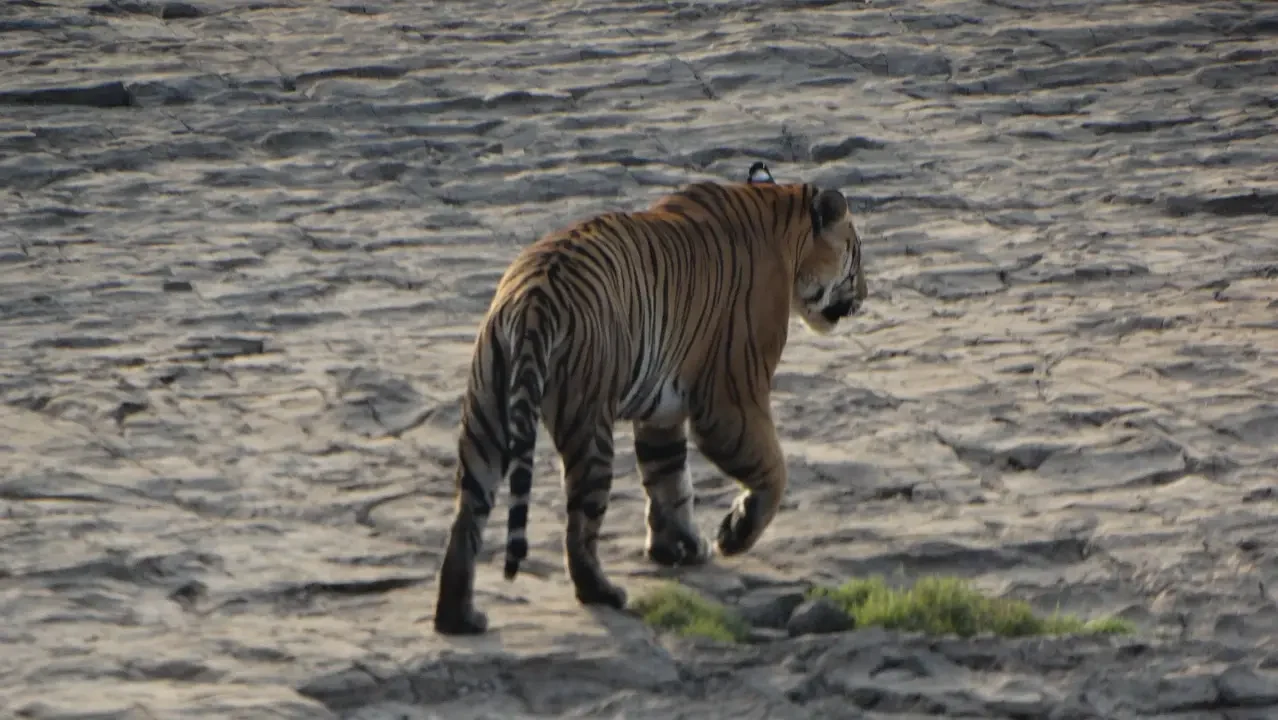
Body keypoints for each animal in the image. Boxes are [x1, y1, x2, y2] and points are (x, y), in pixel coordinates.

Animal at [433, 161, 867, 635]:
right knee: (580, 523)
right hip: (589, 427)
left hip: (486, 418)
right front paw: (733, 535)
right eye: (857, 255)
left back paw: (458, 617)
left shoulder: (662, 408)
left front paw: (680, 548)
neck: (782, 216)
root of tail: (531, 300)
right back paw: (601, 592)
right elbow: (773, 472)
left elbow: (669, 480)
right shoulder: (732, 396)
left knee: (466, 515)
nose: (864, 298)